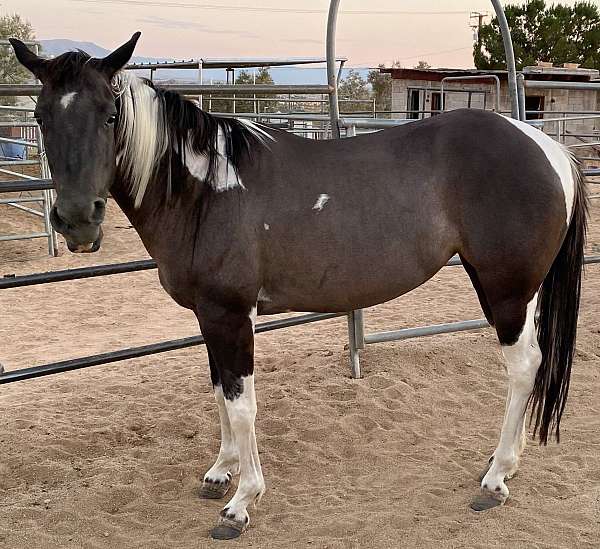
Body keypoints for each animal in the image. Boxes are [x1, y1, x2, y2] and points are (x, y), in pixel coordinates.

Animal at [11, 32, 588, 536]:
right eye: (40, 116)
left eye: (110, 114)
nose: (77, 221)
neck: (205, 191)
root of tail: (549, 149)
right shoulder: (208, 316)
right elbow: (220, 390)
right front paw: (220, 471)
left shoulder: (230, 315)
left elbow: (242, 404)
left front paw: (241, 502)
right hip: (513, 290)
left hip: (506, 290)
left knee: (523, 367)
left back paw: (496, 478)